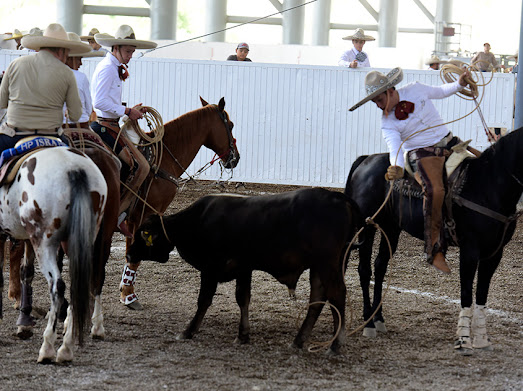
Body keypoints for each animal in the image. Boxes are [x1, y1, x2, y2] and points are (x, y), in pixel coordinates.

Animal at [0, 148, 107, 364]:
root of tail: (74, 168)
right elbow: (26, 271)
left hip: (44, 242)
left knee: (57, 286)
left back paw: (48, 347)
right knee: (80, 285)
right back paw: (66, 348)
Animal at [117, 97, 241, 310]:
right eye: (230, 125)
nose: (236, 158)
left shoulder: (131, 220)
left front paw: (125, 291)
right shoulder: (143, 216)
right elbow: (134, 257)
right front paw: (129, 296)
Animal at [129, 188, 362, 354]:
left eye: (142, 233)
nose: (130, 254)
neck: (197, 221)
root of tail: (337, 196)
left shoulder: (210, 269)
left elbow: (204, 300)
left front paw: (188, 330)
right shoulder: (243, 268)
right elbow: (243, 298)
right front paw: (243, 335)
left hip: (327, 263)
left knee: (337, 294)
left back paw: (335, 345)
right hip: (320, 267)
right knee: (318, 299)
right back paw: (299, 340)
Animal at [344, 128, 523, 356]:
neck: (489, 186)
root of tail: (366, 159)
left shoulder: (494, 254)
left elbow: (482, 293)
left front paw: (482, 340)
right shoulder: (470, 251)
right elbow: (467, 292)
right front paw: (463, 341)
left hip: (390, 228)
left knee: (380, 266)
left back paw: (379, 319)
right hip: (368, 227)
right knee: (364, 269)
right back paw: (368, 322)